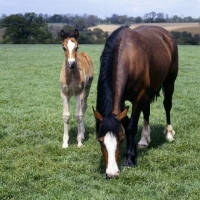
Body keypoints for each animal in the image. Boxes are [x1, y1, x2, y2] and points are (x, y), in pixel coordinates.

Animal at [93, 25, 178, 178]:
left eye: (120, 140)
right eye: (100, 140)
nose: (112, 173)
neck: (128, 56)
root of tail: (167, 34)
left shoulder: (138, 96)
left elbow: (131, 127)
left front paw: (130, 159)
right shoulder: (121, 101)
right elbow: (127, 124)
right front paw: (132, 152)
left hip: (169, 82)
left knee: (167, 105)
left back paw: (169, 133)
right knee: (147, 111)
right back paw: (144, 139)